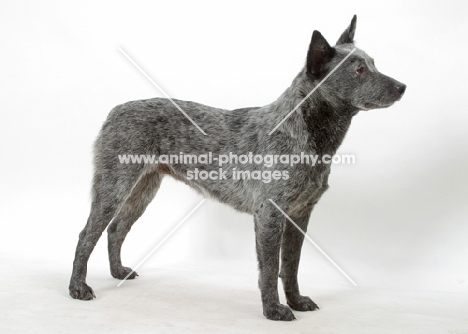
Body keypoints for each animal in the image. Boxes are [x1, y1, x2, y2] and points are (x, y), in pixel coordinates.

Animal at [69, 15, 406, 320]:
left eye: (373, 63)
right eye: (358, 70)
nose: (402, 86)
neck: (302, 131)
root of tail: (115, 110)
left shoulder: (300, 215)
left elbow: (291, 266)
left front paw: (296, 300)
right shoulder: (269, 215)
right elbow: (270, 270)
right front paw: (273, 310)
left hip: (142, 190)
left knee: (116, 229)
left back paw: (118, 272)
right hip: (114, 188)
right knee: (87, 235)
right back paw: (77, 287)